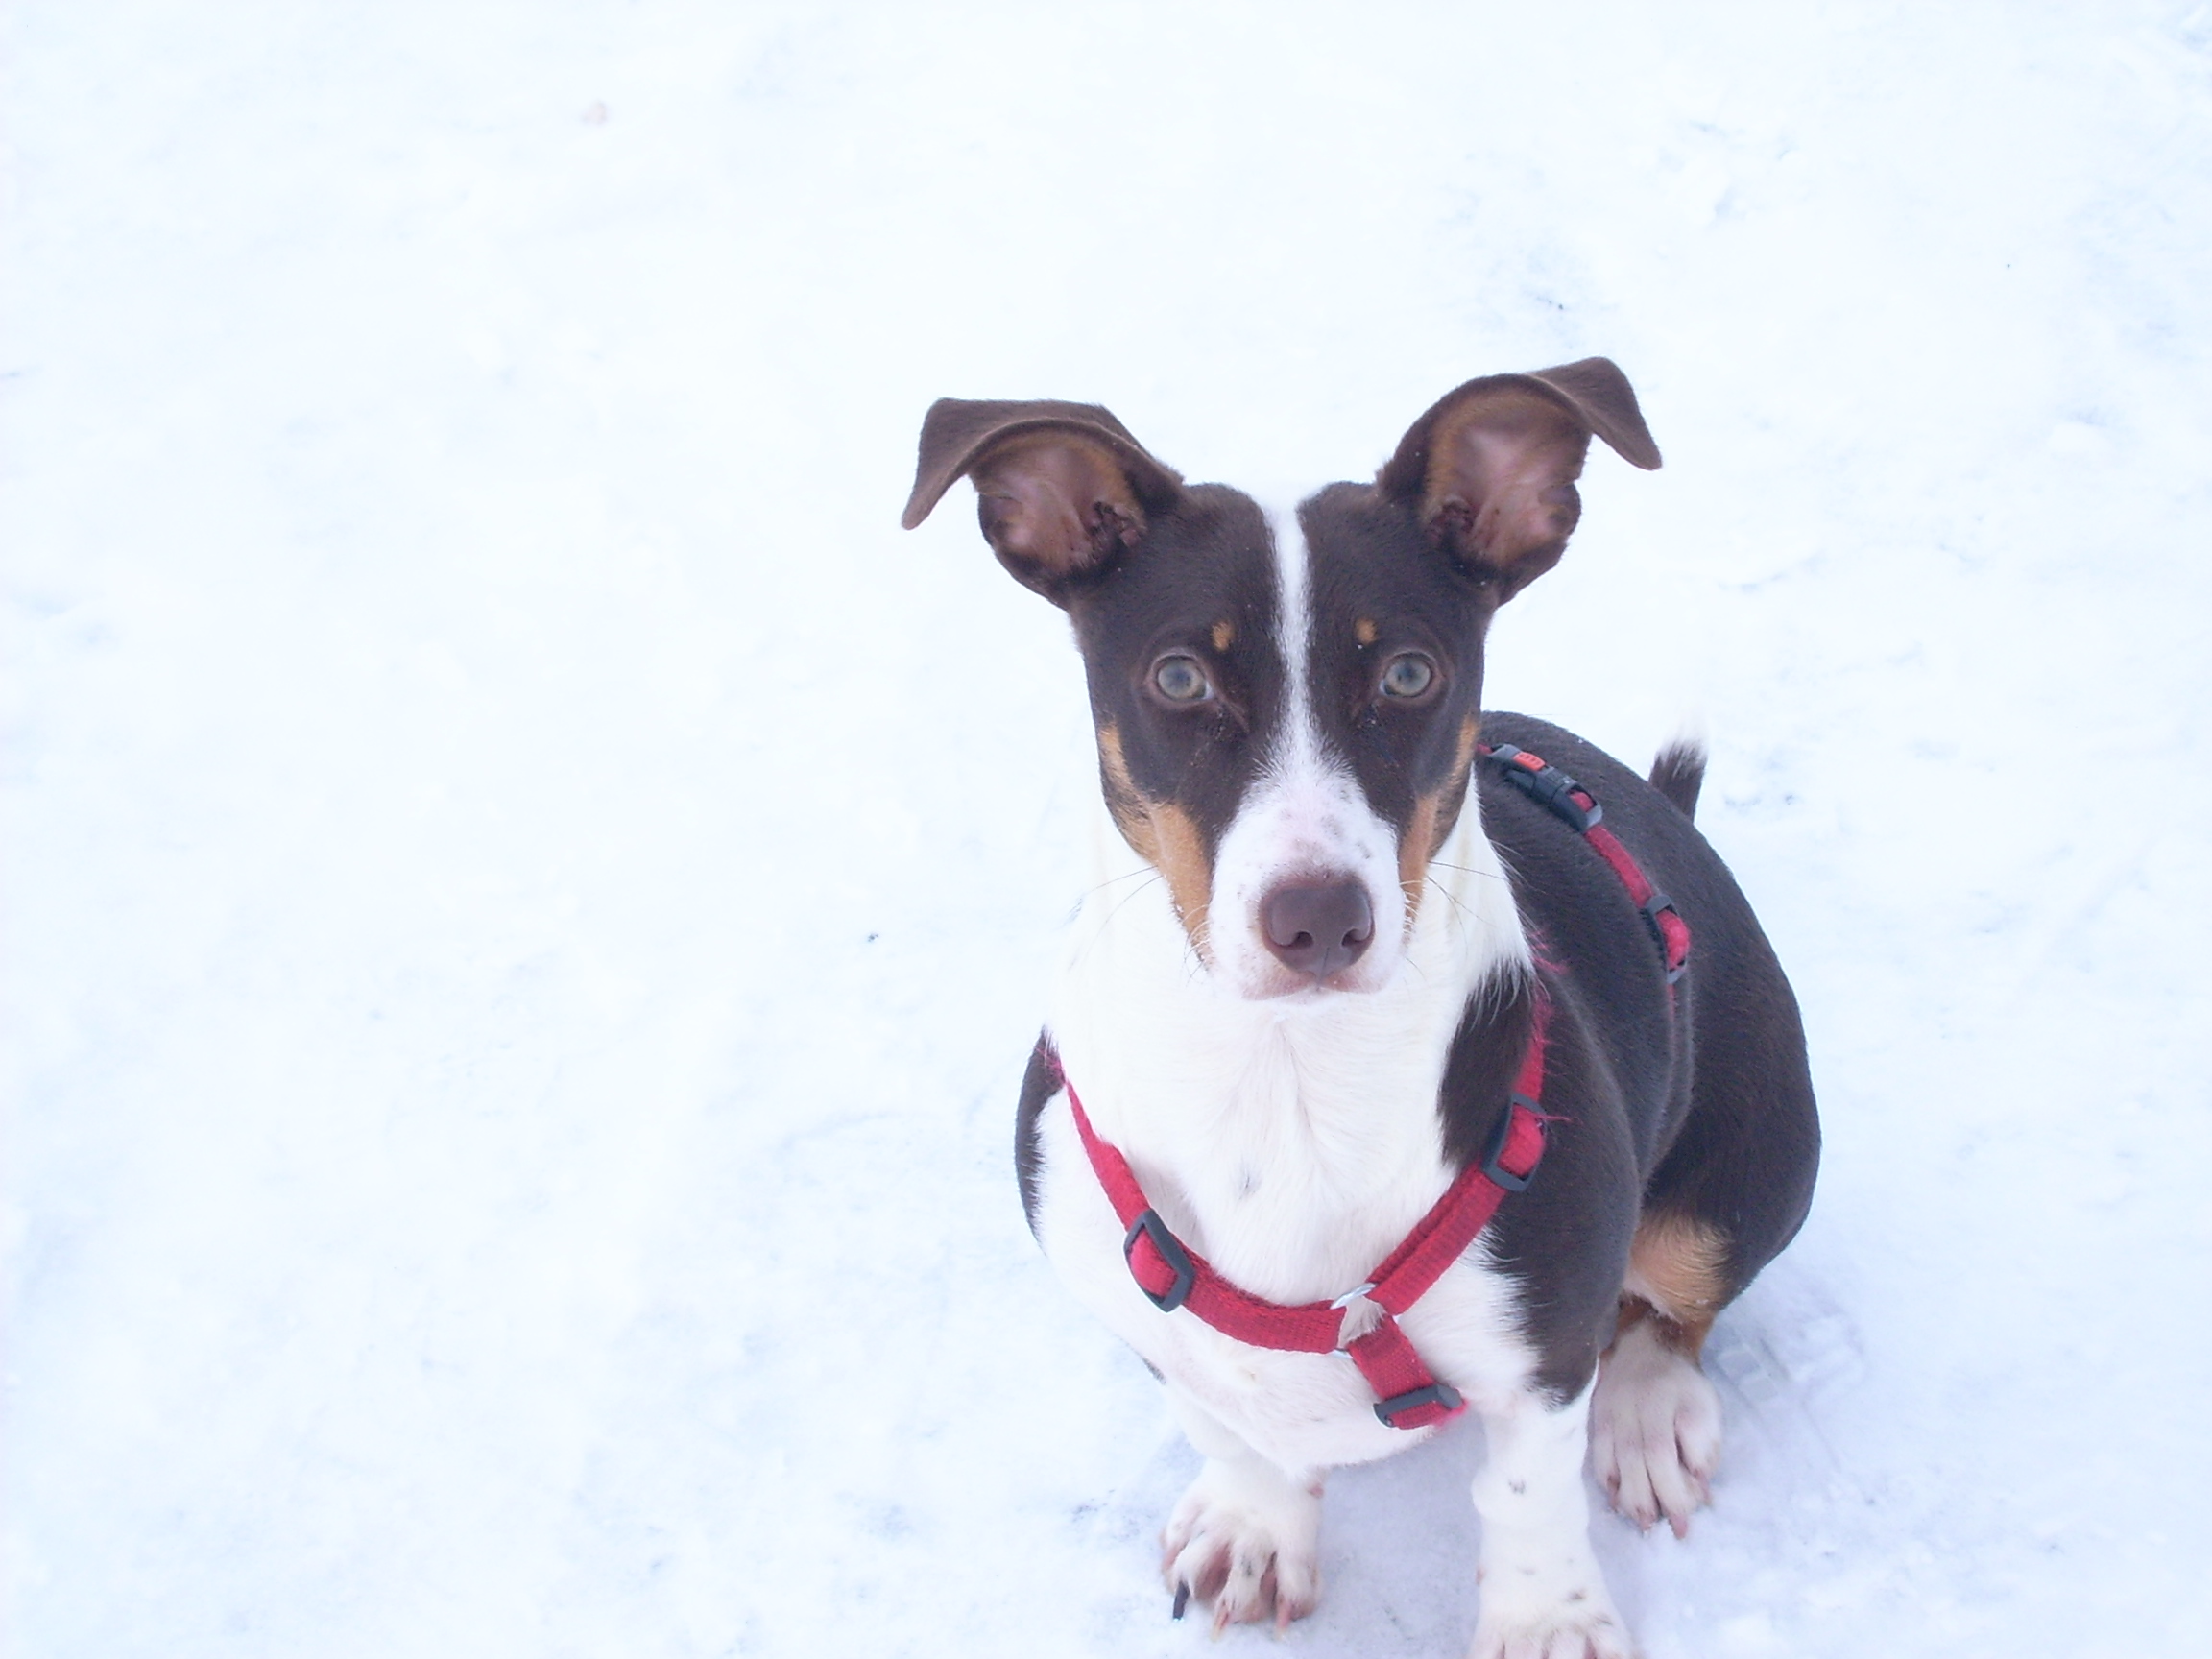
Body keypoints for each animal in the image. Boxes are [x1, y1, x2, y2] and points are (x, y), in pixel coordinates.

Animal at [898, 362, 1814, 1659]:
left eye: (1409, 674)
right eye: (1179, 678)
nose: (1320, 920)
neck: (1284, 1074)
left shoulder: (1542, 1346)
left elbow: (1526, 1488)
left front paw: (1545, 1619)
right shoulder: (1145, 1315)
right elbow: (1226, 1425)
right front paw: (1254, 1523)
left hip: (1743, 1173)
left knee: (1678, 1298)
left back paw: (1648, 1415)